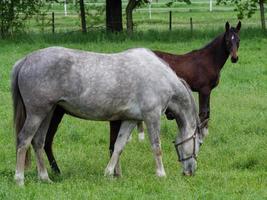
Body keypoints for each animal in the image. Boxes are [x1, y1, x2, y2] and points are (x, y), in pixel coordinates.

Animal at [11, 47, 206, 186]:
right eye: (199, 143)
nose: (190, 172)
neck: (161, 77)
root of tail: (25, 60)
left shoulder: (131, 120)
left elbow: (118, 146)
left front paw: (109, 173)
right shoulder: (152, 117)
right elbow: (156, 147)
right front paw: (161, 174)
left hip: (48, 113)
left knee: (38, 142)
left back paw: (45, 178)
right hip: (37, 113)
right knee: (24, 140)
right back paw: (19, 179)